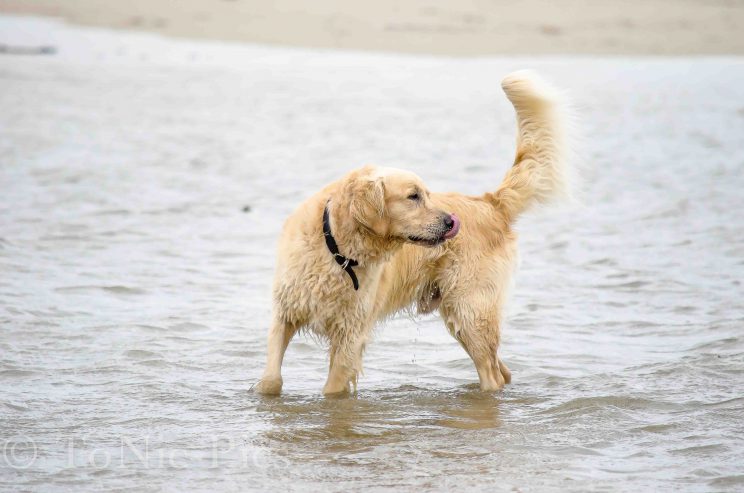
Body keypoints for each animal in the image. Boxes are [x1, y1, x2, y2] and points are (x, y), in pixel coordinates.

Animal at [258, 71, 572, 396]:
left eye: (427, 194)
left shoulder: (351, 335)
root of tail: (489, 202)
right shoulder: (285, 312)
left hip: (469, 310)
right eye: (414, 196)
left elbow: (332, 388)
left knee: (492, 372)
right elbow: (271, 379)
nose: (451, 221)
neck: (339, 251)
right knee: (503, 370)